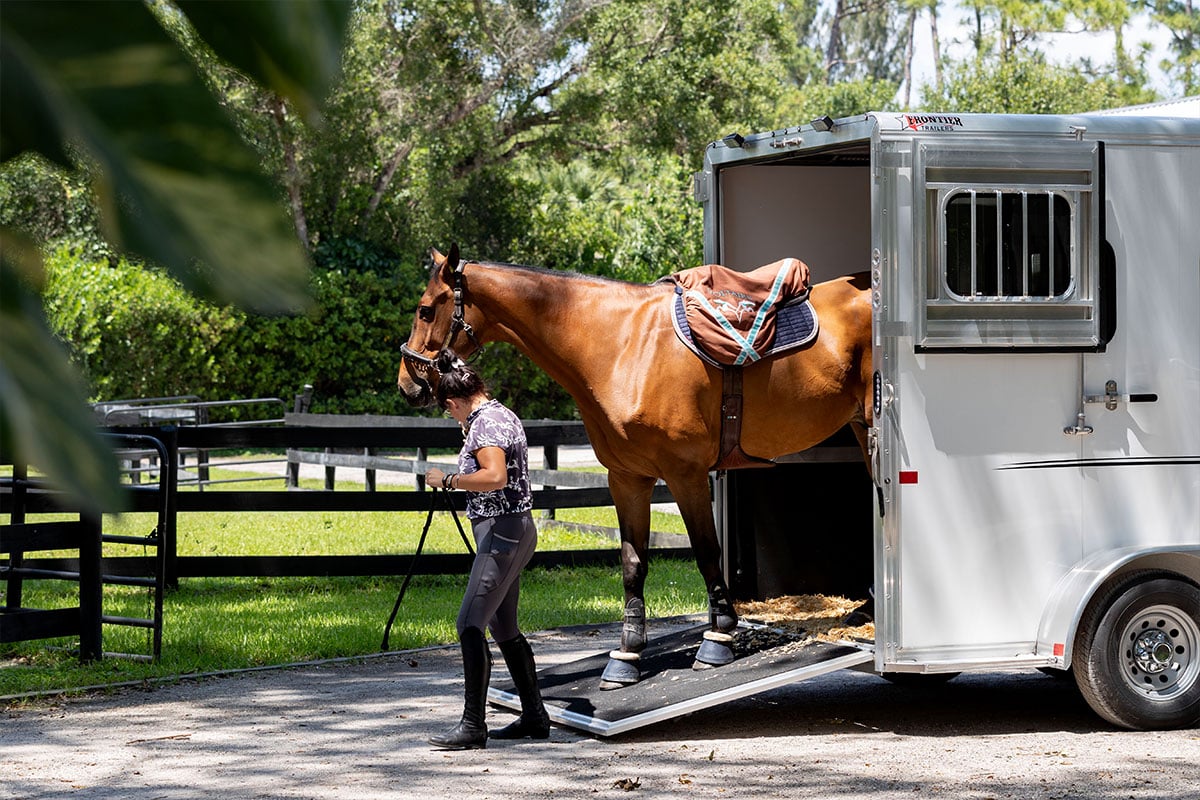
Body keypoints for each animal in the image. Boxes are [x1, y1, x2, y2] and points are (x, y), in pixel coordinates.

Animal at [396, 244, 873, 690]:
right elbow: (632, 563)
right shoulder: (627, 479)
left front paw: (718, 639)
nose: (407, 385)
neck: (623, 346)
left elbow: (706, 551)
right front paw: (627, 655)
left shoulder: (685, 475)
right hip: (862, 428)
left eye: (425, 309)